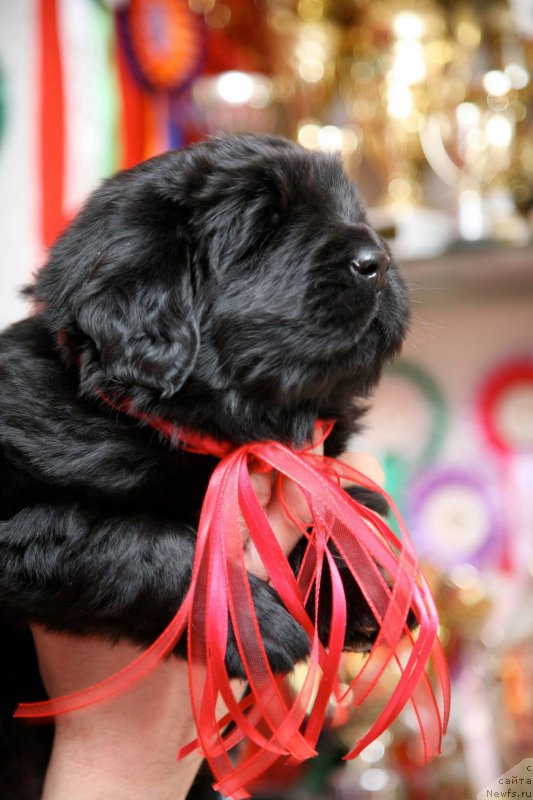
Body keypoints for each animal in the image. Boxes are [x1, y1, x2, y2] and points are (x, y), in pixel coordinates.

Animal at [0, 134, 408, 796]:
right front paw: (254, 624)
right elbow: (137, 541)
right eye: (263, 228)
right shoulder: (26, 530)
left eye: (351, 211)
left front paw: (372, 584)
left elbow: (339, 509)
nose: (382, 260)